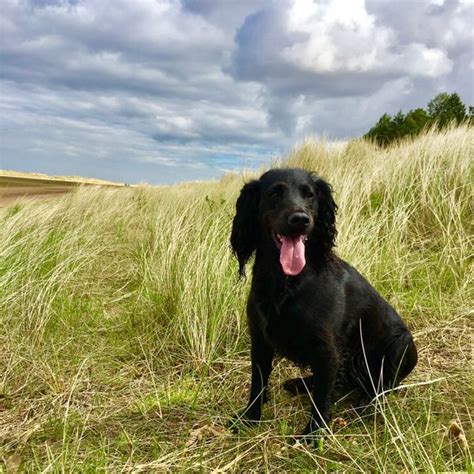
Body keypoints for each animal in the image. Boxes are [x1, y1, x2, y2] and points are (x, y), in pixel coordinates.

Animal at [231, 168, 416, 438]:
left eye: (309, 195)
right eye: (275, 193)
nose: (300, 219)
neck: (286, 283)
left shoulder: (327, 349)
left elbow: (321, 398)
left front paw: (312, 434)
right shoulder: (260, 341)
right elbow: (258, 383)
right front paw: (249, 418)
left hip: (401, 343)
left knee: (380, 386)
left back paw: (366, 404)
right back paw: (299, 383)